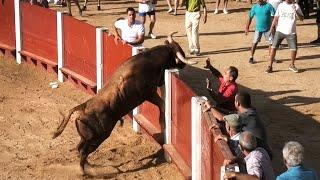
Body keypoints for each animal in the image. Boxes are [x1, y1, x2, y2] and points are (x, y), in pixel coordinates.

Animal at [51, 32, 196, 174]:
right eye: (177, 52)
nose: (184, 64)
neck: (152, 59)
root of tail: (83, 106)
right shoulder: (149, 93)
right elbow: (162, 104)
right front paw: (162, 122)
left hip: (86, 137)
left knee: (80, 148)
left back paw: (88, 167)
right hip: (97, 136)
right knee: (83, 151)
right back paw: (84, 171)